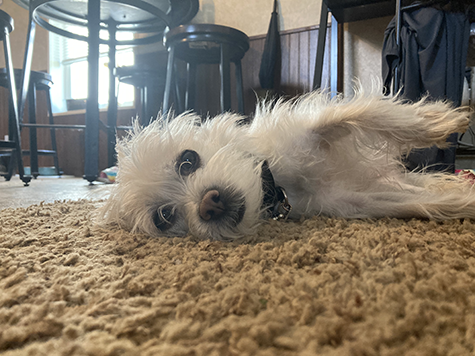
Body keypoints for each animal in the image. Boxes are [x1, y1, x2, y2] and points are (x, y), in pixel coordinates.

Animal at [98, 90, 474, 241]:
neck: (280, 183)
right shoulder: (357, 200)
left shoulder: (310, 131)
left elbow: (365, 112)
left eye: (187, 161)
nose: (208, 204)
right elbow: (426, 203)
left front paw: (438, 120)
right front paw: (464, 200)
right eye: (164, 217)